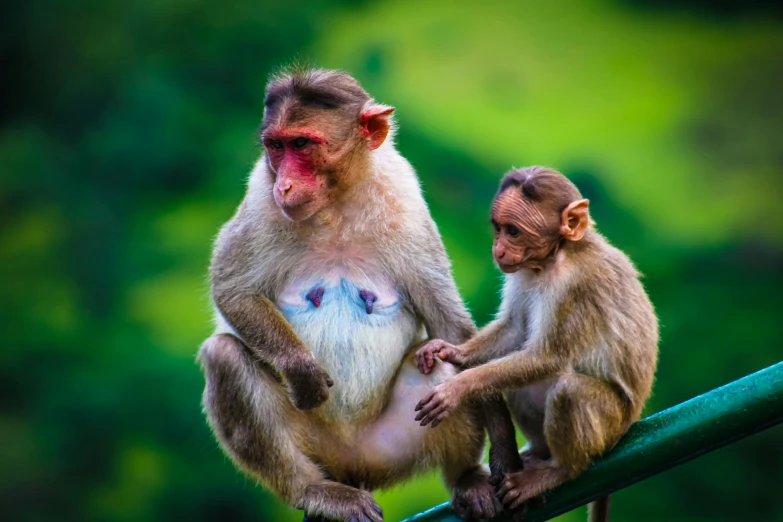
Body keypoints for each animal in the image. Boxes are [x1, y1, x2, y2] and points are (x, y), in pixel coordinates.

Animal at [198, 68, 502, 520]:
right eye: (276, 146)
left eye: (302, 145)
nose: (284, 186)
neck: (336, 206)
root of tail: (350, 464)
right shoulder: (259, 201)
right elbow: (233, 292)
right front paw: (300, 367)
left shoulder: (407, 205)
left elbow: (451, 326)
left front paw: (503, 452)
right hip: (314, 447)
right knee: (225, 356)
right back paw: (313, 489)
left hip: (390, 447)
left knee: (439, 357)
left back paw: (466, 477)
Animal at [416, 167, 660, 516]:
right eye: (498, 228)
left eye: (513, 231)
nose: (498, 250)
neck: (554, 258)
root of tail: (633, 419)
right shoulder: (522, 273)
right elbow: (515, 330)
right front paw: (453, 351)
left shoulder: (576, 286)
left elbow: (547, 357)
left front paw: (458, 388)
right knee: (521, 385)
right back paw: (539, 454)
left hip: (611, 425)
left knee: (568, 390)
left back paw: (561, 470)